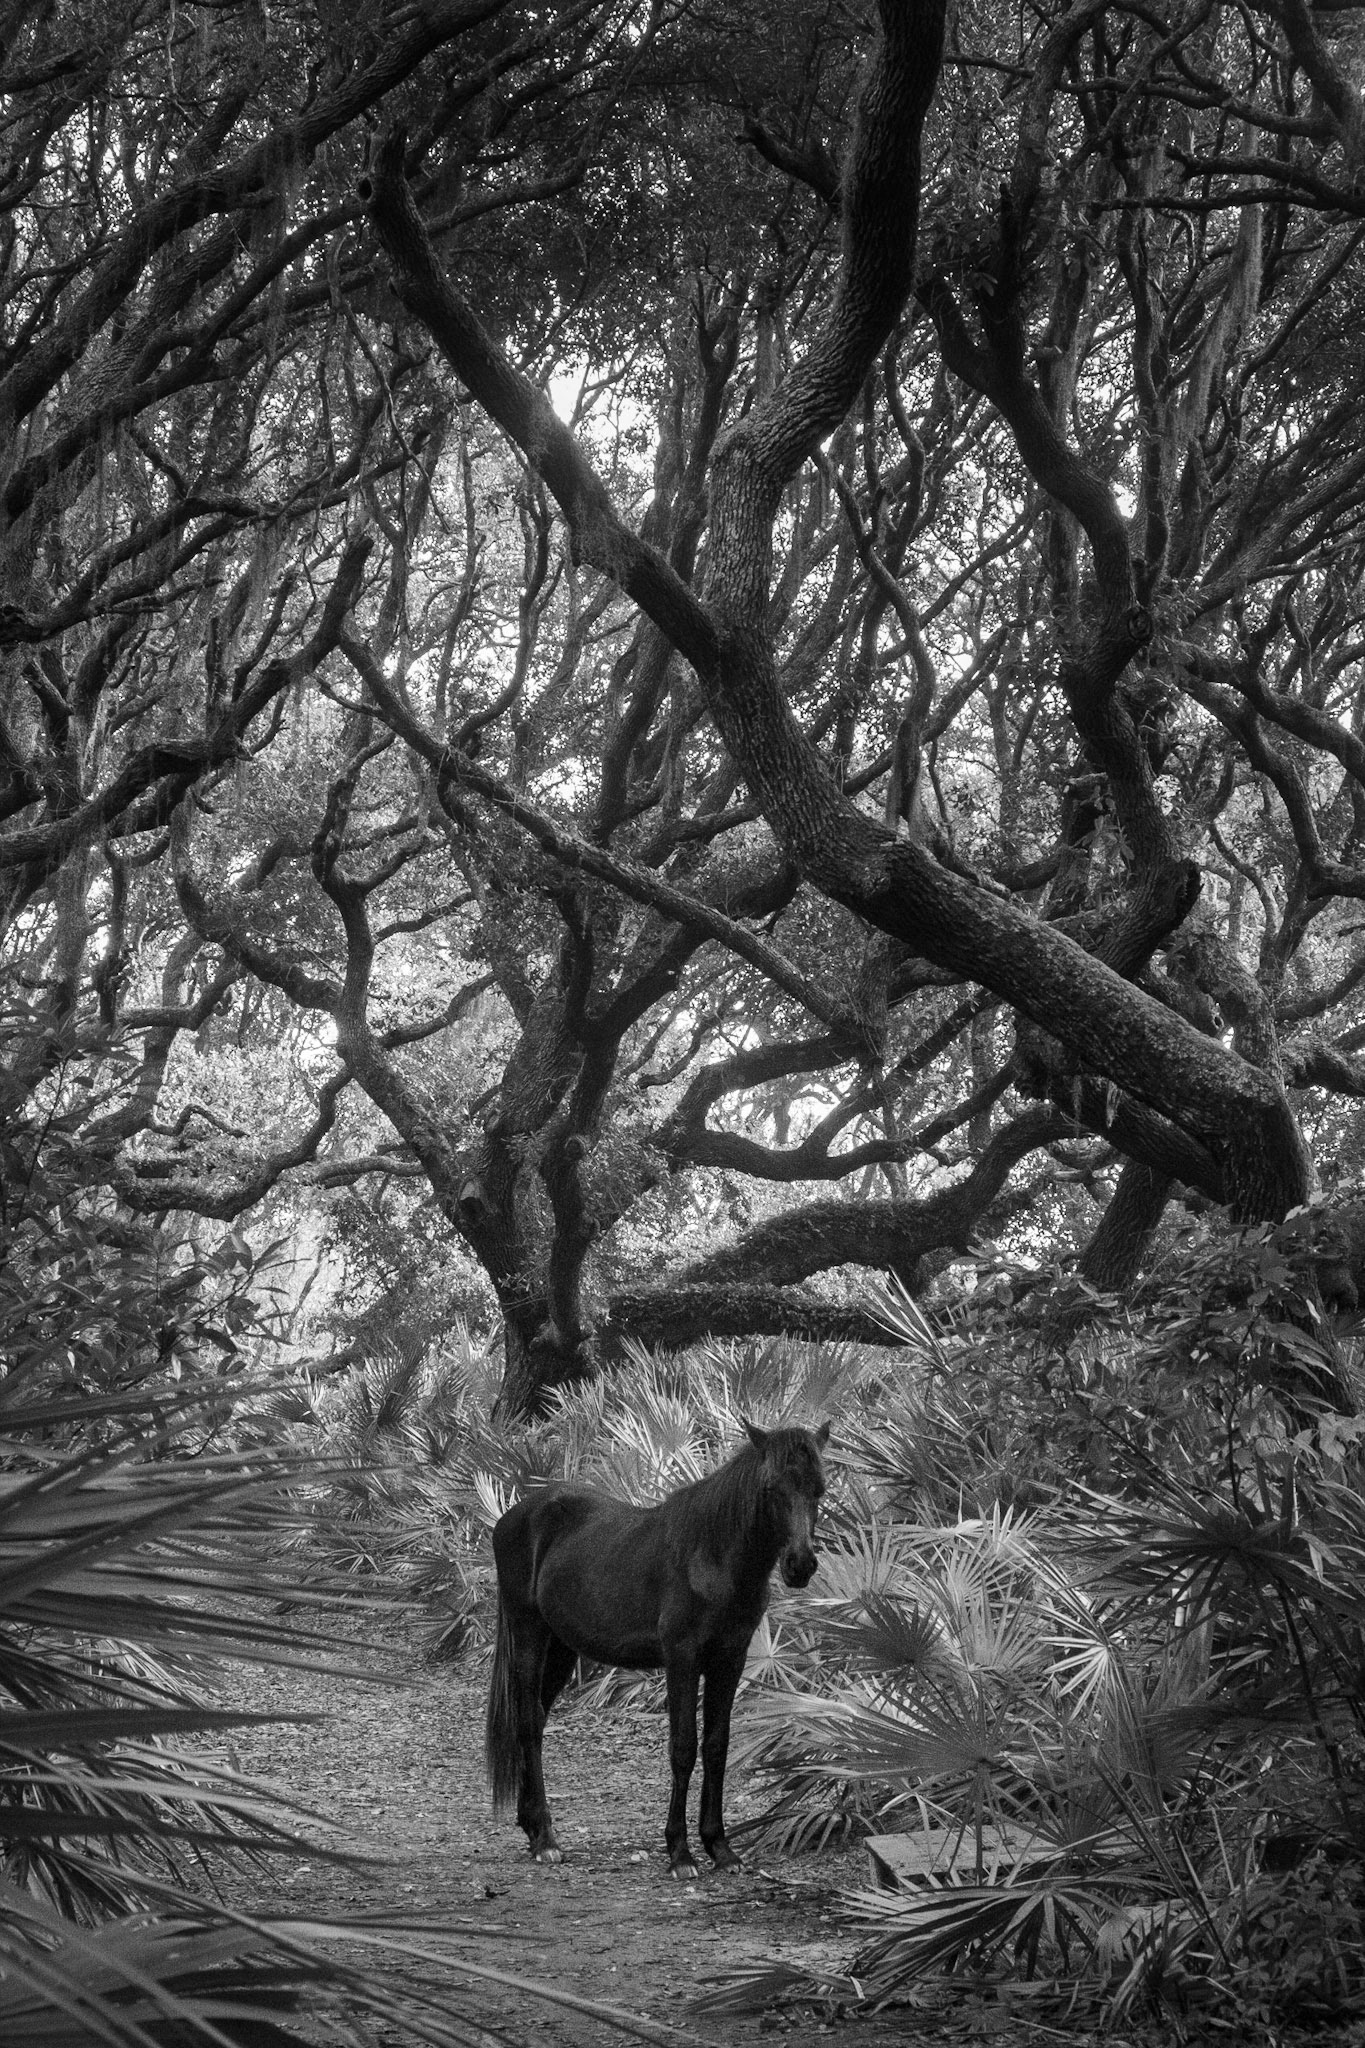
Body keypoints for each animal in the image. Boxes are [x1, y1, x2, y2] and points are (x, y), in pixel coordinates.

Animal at [484, 1418, 829, 1878]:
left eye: (819, 1488)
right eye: (771, 1487)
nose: (800, 1565)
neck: (712, 1555)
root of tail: (513, 1517)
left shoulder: (730, 1660)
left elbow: (716, 1746)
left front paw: (720, 1848)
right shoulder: (681, 1658)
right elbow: (683, 1748)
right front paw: (680, 1852)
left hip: (560, 1648)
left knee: (537, 1721)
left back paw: (532, 1826)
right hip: (529, 1635)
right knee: (526, 1721)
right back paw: (546, 1840)